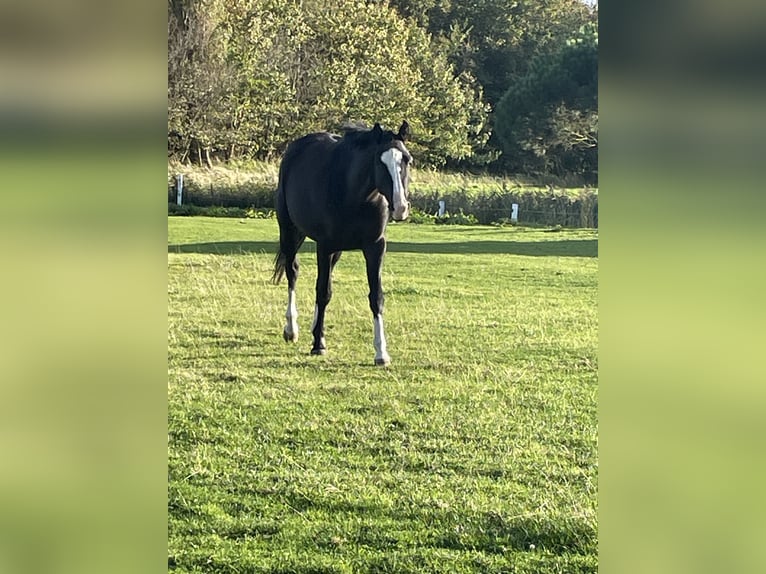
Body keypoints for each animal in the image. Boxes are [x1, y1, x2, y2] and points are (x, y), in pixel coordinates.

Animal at [272, 121, 412, 366]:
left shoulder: (375, 247)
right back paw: (292, 329)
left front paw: (381, 353)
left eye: (406, 159)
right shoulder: (324, 246)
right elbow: (322, 291)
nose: (400, 207)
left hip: (336, 250)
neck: (354, 193)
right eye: (379, 161)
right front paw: (318, 345)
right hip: (289, 231)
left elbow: (376, 296)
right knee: (292, 272)